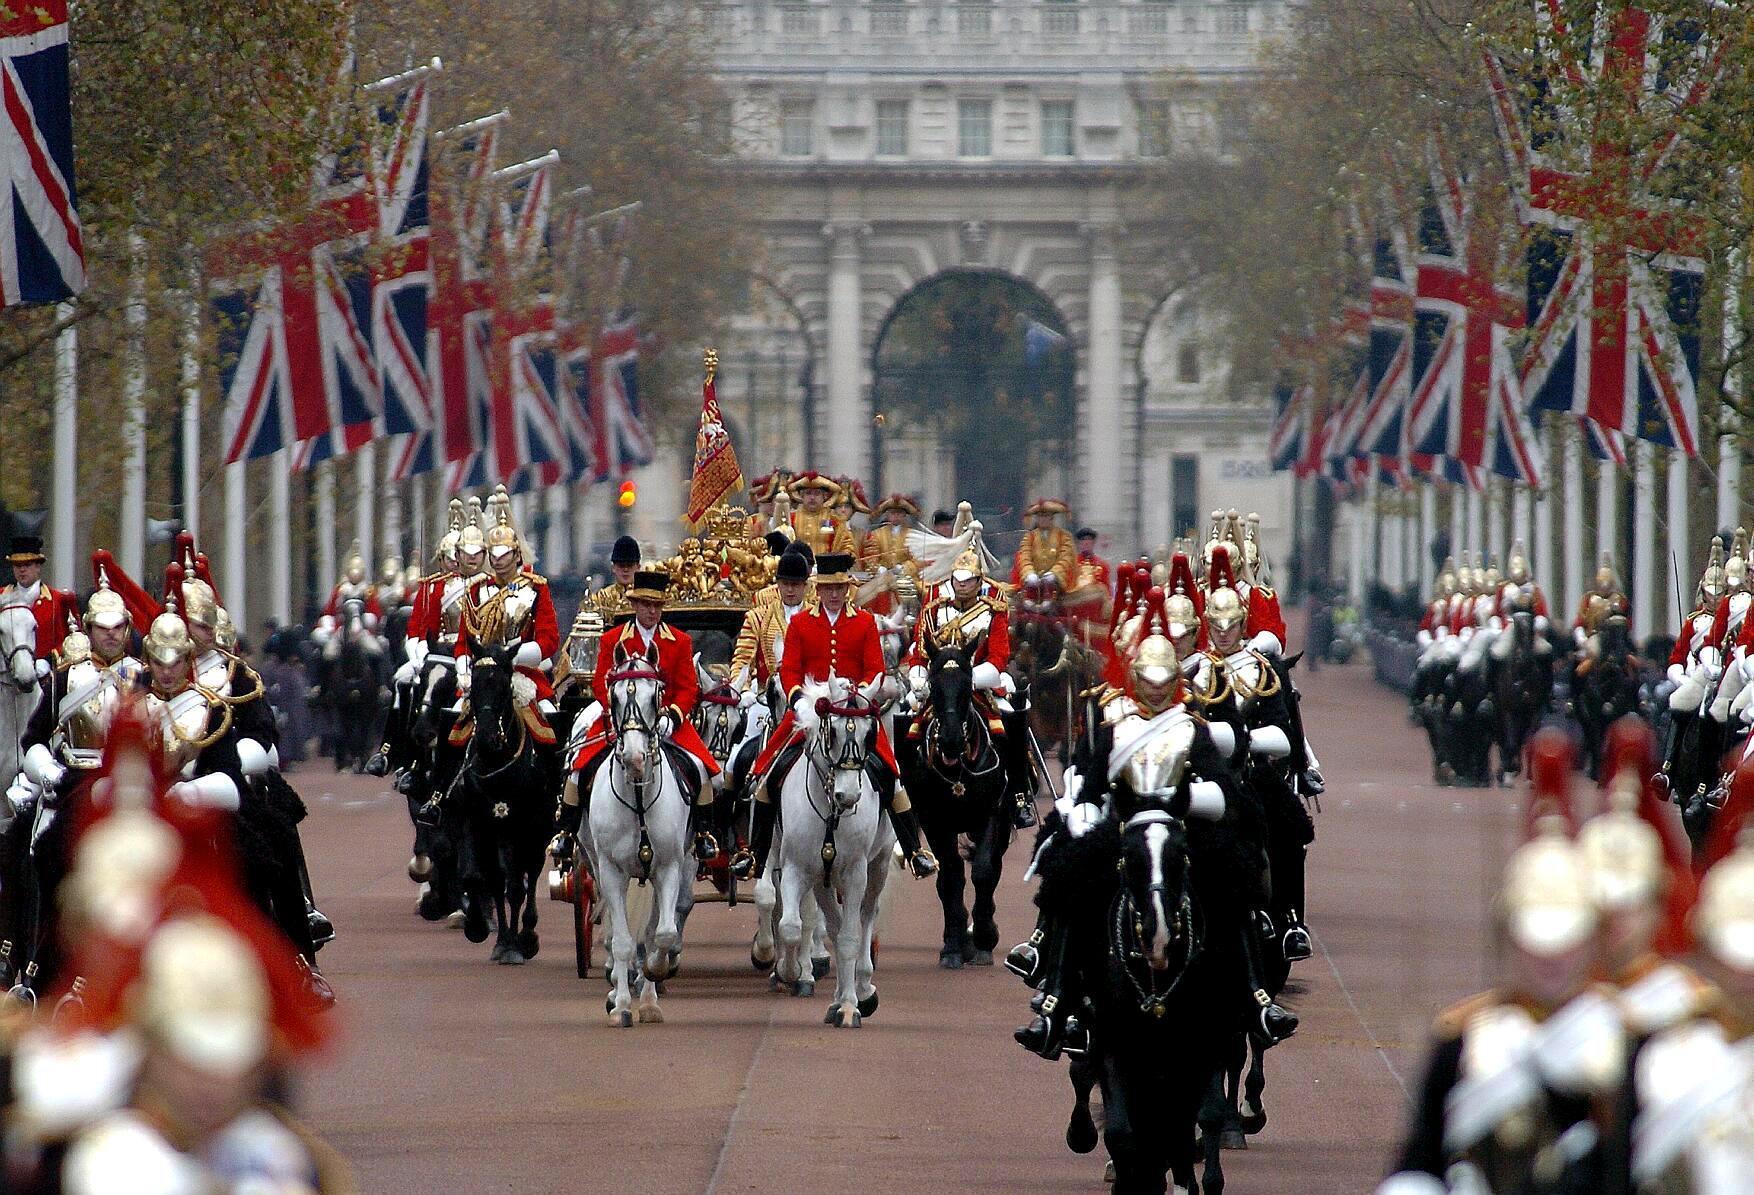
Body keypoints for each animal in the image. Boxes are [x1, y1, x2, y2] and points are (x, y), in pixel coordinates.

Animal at [452, 642, 554, 961]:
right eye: (473, 687)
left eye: (502, 686)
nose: (486, 739)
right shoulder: (477, 821)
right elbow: (479, 878)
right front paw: (482, 930)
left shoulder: (522, 826)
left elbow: (516, 886)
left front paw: (516, 944)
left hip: (536, 830)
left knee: (531, 871)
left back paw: (527, 935)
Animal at [592, 663, 694, 1024]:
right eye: (615, 696)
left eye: (655, 696)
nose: (635, 758)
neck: (637, 798)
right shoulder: (611, 871)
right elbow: (622, 940)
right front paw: (621, 1004)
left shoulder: (668, 868)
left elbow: (661, 934)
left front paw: (653, 977)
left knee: (653, 930)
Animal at [778, 677, 891, 1017]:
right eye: (833, 732)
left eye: (870, 733)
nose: (849, 796)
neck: (831, 813)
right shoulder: (797, 868)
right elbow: (791, 925)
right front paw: (791, 973)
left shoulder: (856, 872)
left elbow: (851, 937)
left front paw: (850, 1007)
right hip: (822, 880)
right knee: (834, 925)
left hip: (878, 865)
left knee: (865, 916)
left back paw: (862, 988)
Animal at [898, 638, 1010, 961]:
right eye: (933, 686)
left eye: (967, 684)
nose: (950, 741)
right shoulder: (935, 821)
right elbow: (951, 876)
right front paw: (954, 944)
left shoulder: (992, 813)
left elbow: (984, 871)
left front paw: (983, 936)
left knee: (994, 865)